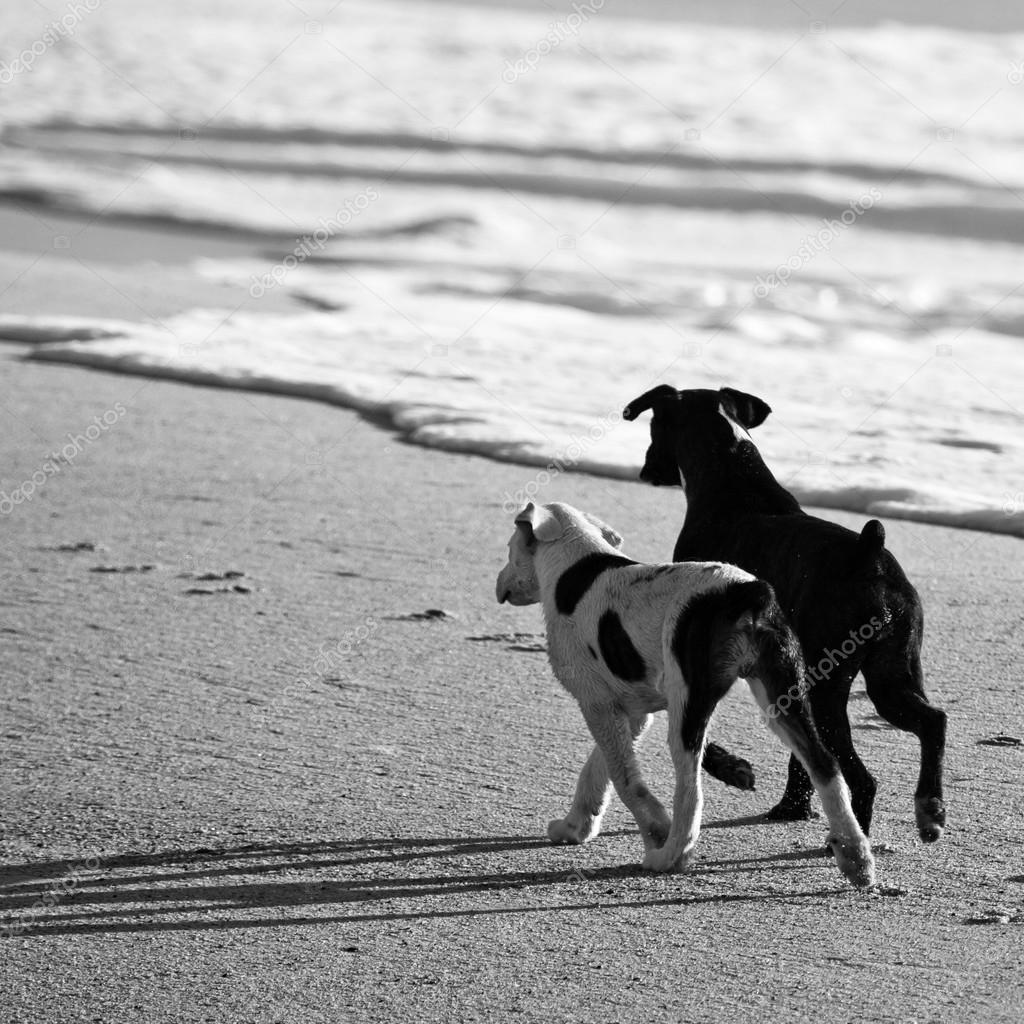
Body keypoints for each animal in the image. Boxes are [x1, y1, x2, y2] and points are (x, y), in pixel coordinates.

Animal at [622, 385, 950, 839]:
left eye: (654, 426)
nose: (646, 469)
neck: (733, 480)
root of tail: (870, 557)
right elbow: (802, 754)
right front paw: (792, 807)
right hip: (890, 678)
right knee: (932, 722)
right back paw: (929, 808)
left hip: (829, 690)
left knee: (862, 776)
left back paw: (853, 835)